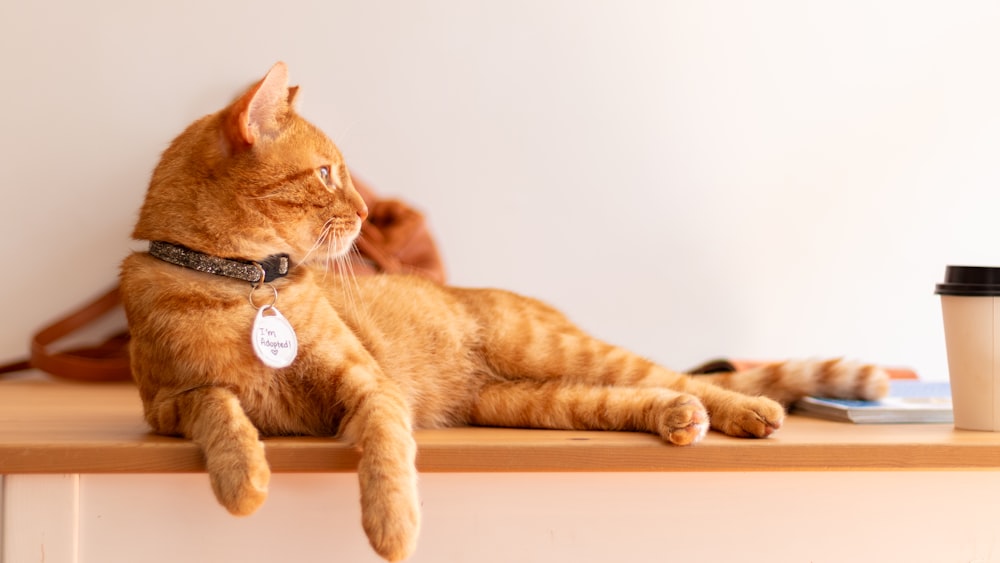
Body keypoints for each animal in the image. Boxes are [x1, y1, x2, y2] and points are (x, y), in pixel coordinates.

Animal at [119, 64, 892, 560]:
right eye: (326, 174)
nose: (367, 213)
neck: (242, 287)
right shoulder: (170, 406)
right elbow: (220, 409)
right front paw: (241, 479)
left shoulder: (371, 388)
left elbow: (386, 459)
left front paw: (393, 530)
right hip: (531, 401)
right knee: (640, 396)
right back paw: (679, 419)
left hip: (556, 353)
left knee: (691, 378)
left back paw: (749, 412)